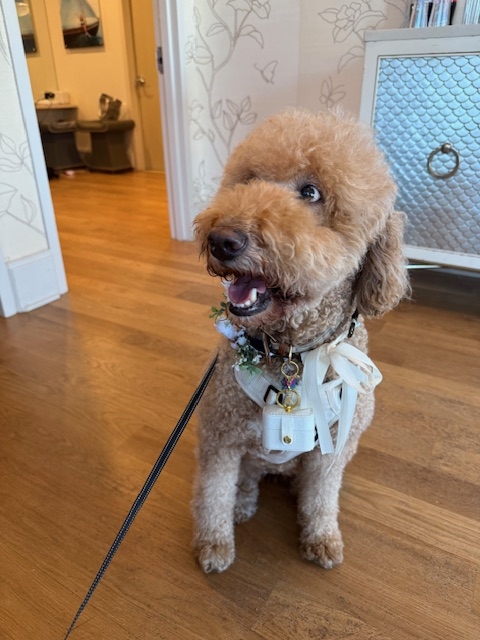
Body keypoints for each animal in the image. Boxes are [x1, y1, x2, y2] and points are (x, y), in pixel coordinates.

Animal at [192, 109, 409, 573]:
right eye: (249, 179)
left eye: (311, 192)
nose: (222, 239)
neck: (290, 352)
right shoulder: (220, 437)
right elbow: (213, 494)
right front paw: (214, 545)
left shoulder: (333, 450)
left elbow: (322, 497)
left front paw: (321, 538)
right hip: (249, 454)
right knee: (246, 481)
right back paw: (243, 504)